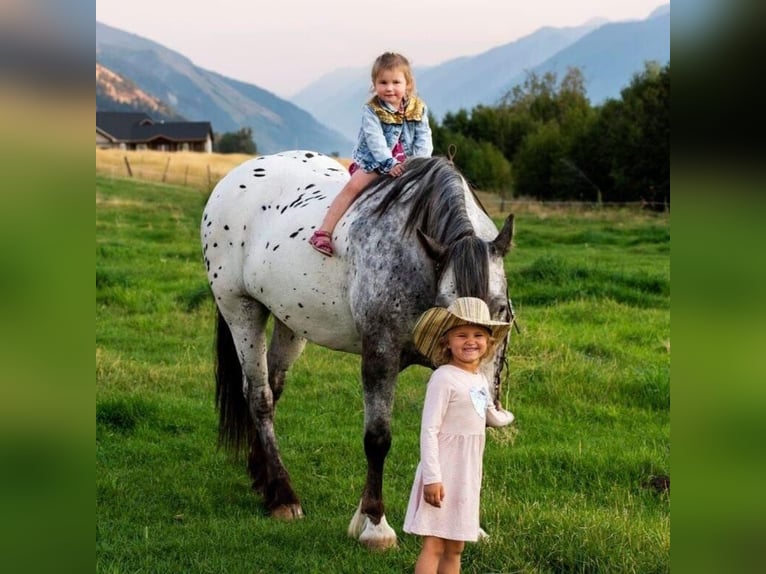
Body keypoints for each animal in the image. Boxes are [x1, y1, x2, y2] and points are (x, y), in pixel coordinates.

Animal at [201, 151, 520, 552]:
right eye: (449, 312)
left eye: (500, 309)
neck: (417, 258)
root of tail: (232, 179)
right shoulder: (380, 354)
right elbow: (378, 439)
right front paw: (374, 525)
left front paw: (466, 526)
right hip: (240, 309)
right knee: (259, 396)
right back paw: (283, 496)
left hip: (289, 320)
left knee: (271, 387)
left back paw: (264, 480)